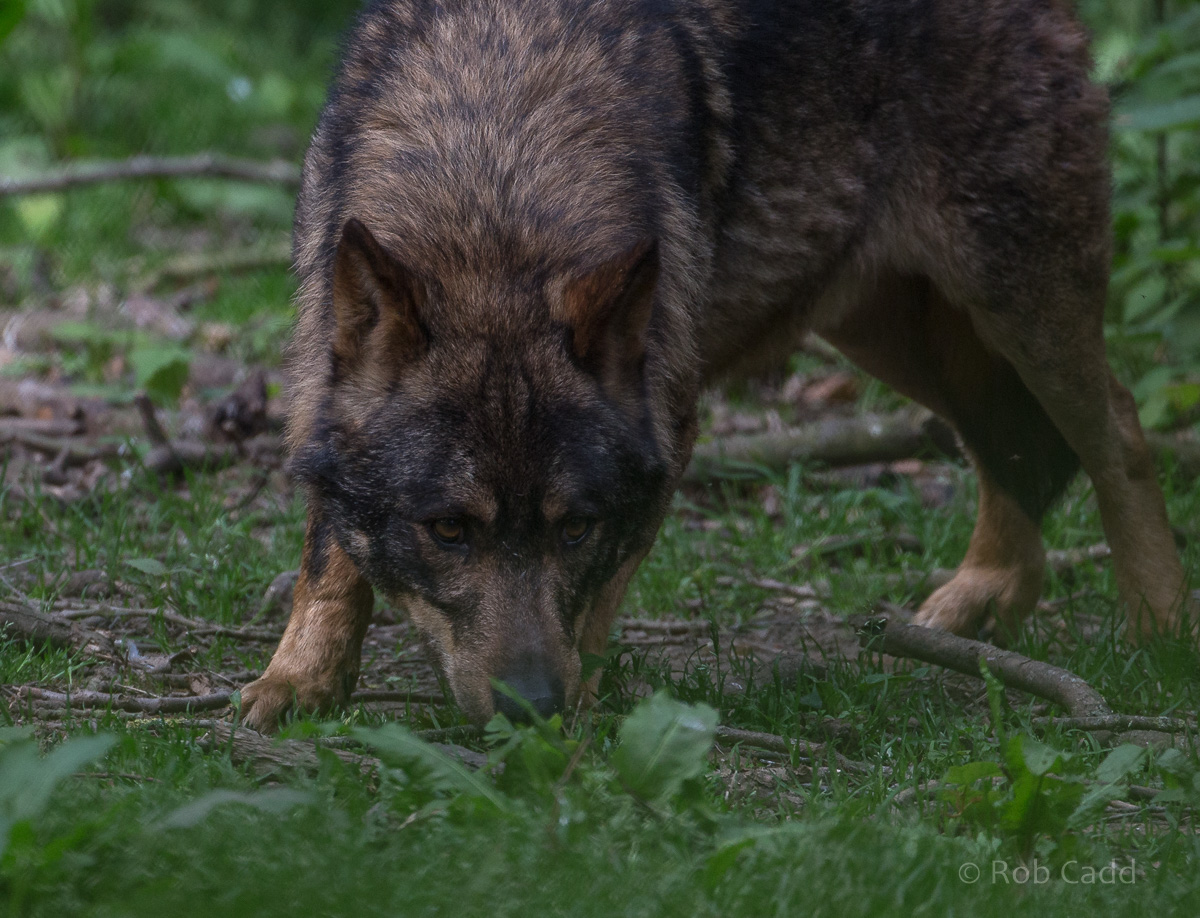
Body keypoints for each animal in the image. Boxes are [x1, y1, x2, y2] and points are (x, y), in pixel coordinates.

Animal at [240, 0, 1191, 730]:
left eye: (575, 529)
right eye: (446, 530)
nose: (534, 708)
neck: (494, 169)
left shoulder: (669, 428)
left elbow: (594, 606)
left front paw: (582, 721)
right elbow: (329, 555)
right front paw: (298, 683)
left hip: (1016, 304)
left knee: (1118, 429)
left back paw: (1160, 627)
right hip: (894, 333)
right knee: (1021, 447)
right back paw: (977, 607)